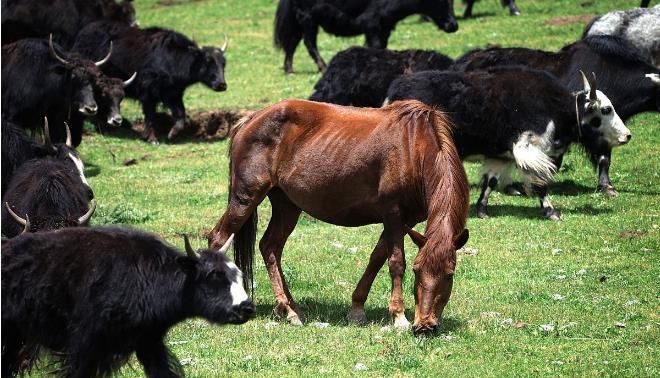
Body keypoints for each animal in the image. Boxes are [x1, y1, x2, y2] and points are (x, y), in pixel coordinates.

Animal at [208, 98, 470, 334]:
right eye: (417, 271)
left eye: (449, 275)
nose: (425, 325)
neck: (414, 147)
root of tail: (249, 120)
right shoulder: (393, 215)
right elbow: (396, 262)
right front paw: (399, 317)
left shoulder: (406, 220)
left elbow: (376, 258)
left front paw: (357, 309)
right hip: (245, 198)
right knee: (218, 238)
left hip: (287, 205)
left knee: (270, 246)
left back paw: (290, 310)